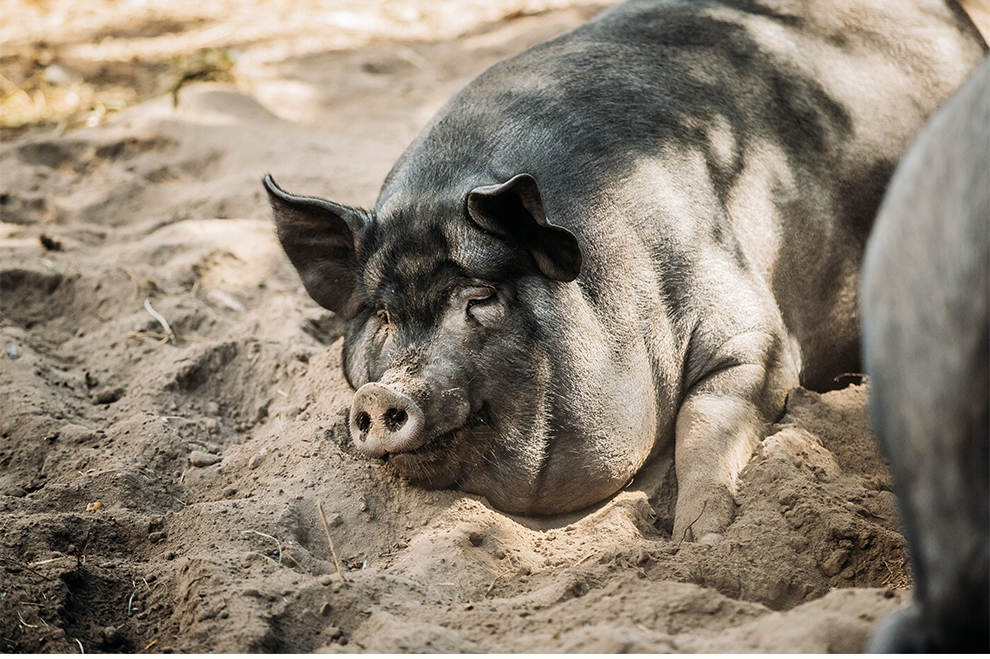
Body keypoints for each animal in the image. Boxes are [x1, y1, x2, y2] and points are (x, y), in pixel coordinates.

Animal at [268, 0, 988, 540]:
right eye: (385, 315)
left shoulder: (759, 334)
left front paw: (701, 534)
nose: (378, 395)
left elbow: (708, 419)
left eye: (480, 297)